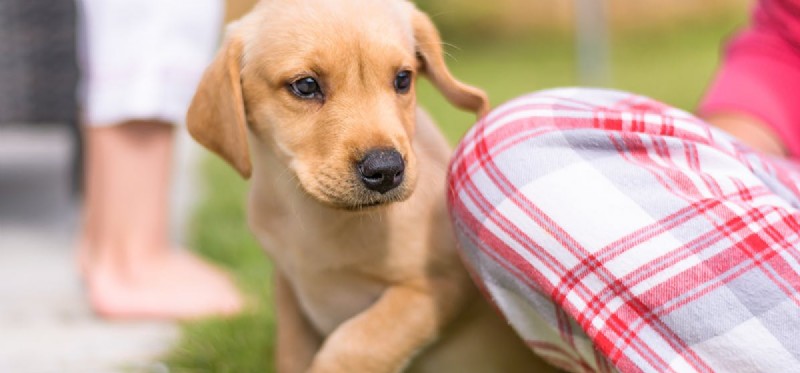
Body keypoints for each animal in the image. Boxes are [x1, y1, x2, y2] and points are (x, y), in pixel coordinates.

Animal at [190, 0, 556, 372]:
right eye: (305, 86)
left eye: (403, 79)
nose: (386, 170)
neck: (315, 214)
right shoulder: (289, 289)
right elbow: (292, 353)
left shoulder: (437, 284)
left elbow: (357, 342)